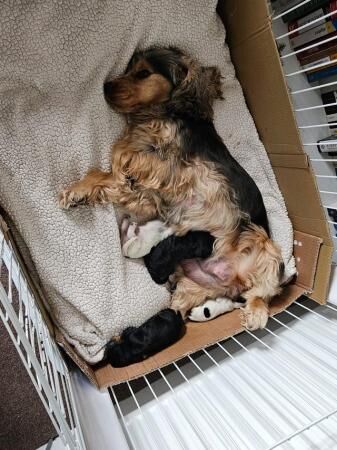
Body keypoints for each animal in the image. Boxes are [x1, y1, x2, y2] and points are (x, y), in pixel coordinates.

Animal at [59, 46, 282, 366]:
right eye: (128, 68)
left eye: (142, 73)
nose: (105, 86)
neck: (160, 114)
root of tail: (232, 279)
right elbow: (109, 177)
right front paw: (80, 192)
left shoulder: (160, 171)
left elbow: (115, 172)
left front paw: (85, 188)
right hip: (192, 286)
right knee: (181, 304)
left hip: (266, 247)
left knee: (265, 292)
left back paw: (255, 313)